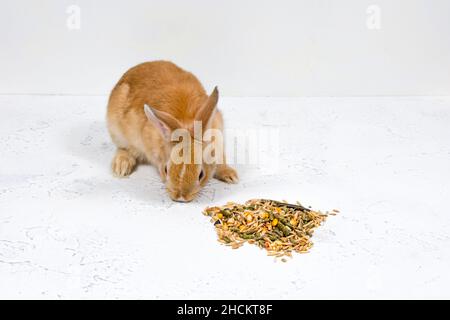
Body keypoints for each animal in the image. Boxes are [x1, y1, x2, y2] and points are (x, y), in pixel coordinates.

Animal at [107, 61, 237, 201]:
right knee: (123, 149)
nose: (180, 197)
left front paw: (231, 175)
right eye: (165, 170)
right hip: (117, 131)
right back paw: (121, 167)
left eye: (201, 174)